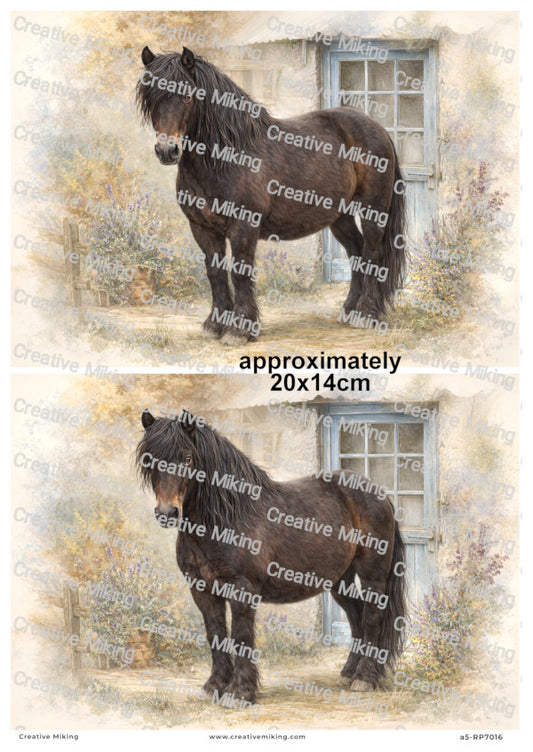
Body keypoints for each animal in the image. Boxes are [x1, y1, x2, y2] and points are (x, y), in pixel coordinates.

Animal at [136, 47, 406, 344]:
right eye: (150, 98)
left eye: (187, 96)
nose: (166, 151)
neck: (228, 157)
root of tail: (379, 130)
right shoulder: (202, 228)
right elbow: (215, 273)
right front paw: (215, 324)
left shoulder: (243, 226)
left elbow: (239, 273)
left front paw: (240, 329)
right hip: (339, 216)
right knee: (356, 252)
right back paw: (348, 311)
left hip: (373, 210)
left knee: (372, 255)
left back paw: (366, 314)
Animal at [136, 409, 406, 704]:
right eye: (149, 458)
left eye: (187, 457)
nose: (167, 512)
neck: (227, 518)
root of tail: (381, 494)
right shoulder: (202, 590)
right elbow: (215, 634)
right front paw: (215, 686)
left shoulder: (242, 589)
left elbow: (241, 636)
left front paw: (239, 692)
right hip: (339, 580)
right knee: (356, 617)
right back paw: (348, 673)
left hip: (372, 575)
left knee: (371, 618)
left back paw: (365, 678)